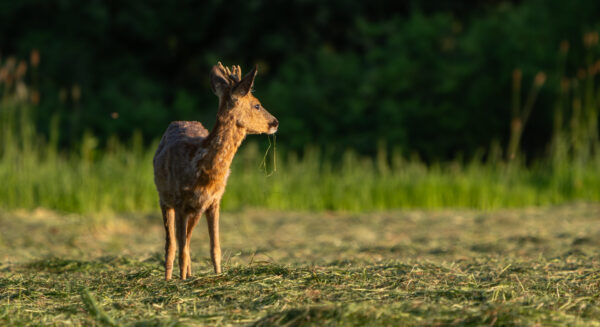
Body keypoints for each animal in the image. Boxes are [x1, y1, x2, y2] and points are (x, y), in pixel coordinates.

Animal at [154, 62, 278, 280]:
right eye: (257, 104)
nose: (275, 122)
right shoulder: (179, 201)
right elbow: (180, 249)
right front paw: (180, 282)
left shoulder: (214, 201)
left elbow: (215, 248)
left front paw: (218, 275)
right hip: (164, 199)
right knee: (172, 244)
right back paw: (170, 278)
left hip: (196, 210)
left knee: (187, 240)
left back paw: (189, 274)